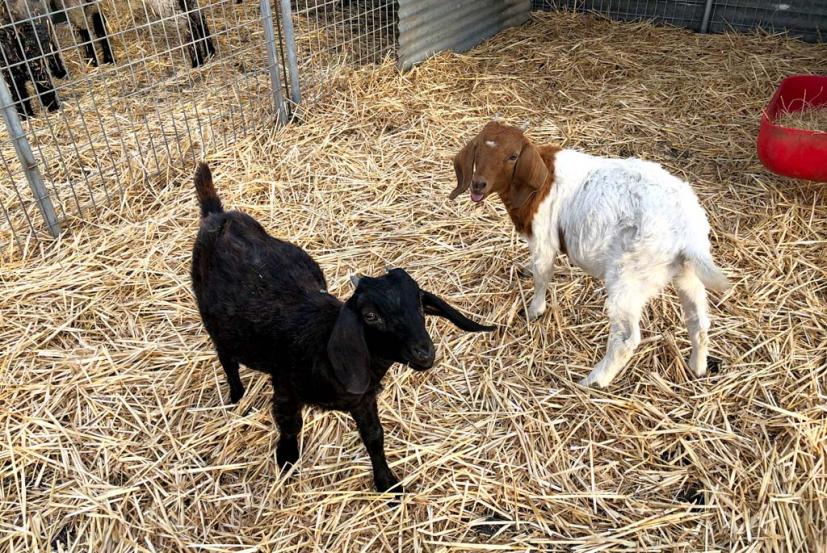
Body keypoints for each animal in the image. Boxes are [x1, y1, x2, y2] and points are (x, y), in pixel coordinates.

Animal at [191, 164, 494, 492]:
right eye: (371, 316)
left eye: (419, 304)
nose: (424, 353)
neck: (325, 343)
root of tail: (218, 215)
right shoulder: (285, 385)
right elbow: (289, 425)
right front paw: (286, 460)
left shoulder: (363, 400)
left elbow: (374, 437)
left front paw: (387, 483)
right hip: (214, 321)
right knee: (227, 358)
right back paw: (236, 396)